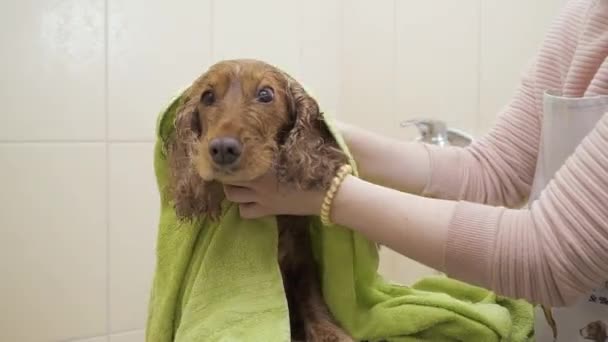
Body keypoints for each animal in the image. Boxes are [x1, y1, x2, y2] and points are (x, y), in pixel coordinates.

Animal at [169, 60, 354, 340]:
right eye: (207, 96)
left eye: (265, 94)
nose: (223, 149)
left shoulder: (301, 262)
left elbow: (313, 303)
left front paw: (332, 331)